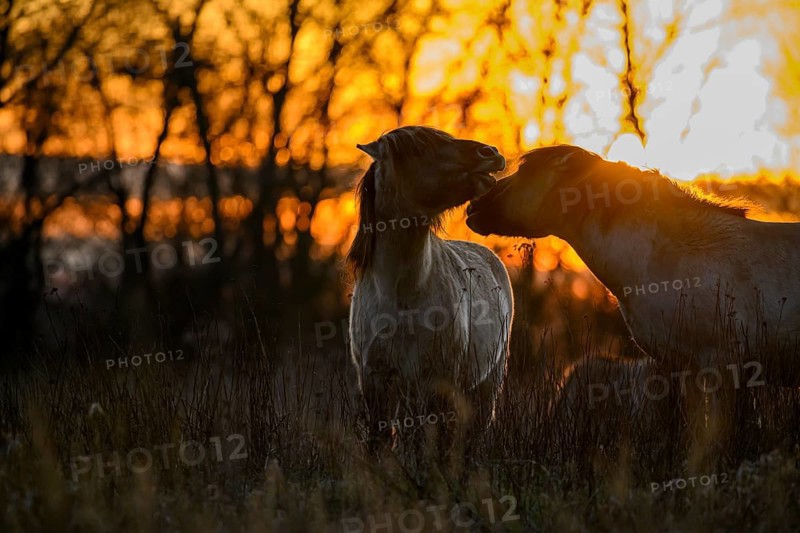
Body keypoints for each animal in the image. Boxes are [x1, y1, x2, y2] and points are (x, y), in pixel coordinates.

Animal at [347, 126, 513, 450]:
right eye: (419, 150)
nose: (490, 153)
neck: (401, 293)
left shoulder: (435, 383)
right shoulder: (375, 382)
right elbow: (381, 440)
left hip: (487, 385)